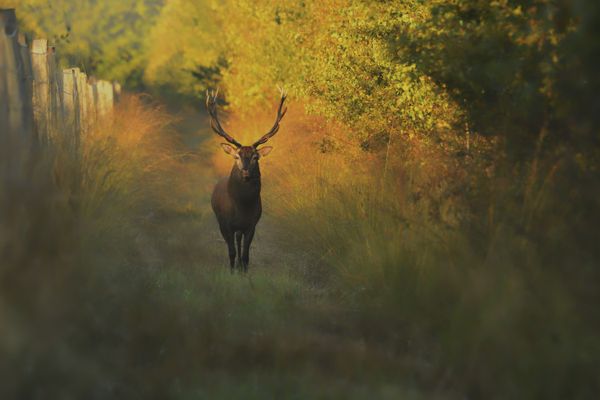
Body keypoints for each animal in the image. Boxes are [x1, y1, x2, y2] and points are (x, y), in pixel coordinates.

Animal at [207, 89, 288, 274]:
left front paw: (244, 272)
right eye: (236, 156)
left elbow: (245, 255)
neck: (242, 207)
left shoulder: (252, 224)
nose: (245, 171)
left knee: (239, 241)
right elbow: (231, 252)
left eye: (255, 157)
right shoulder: (225, 223)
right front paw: (231, 272)